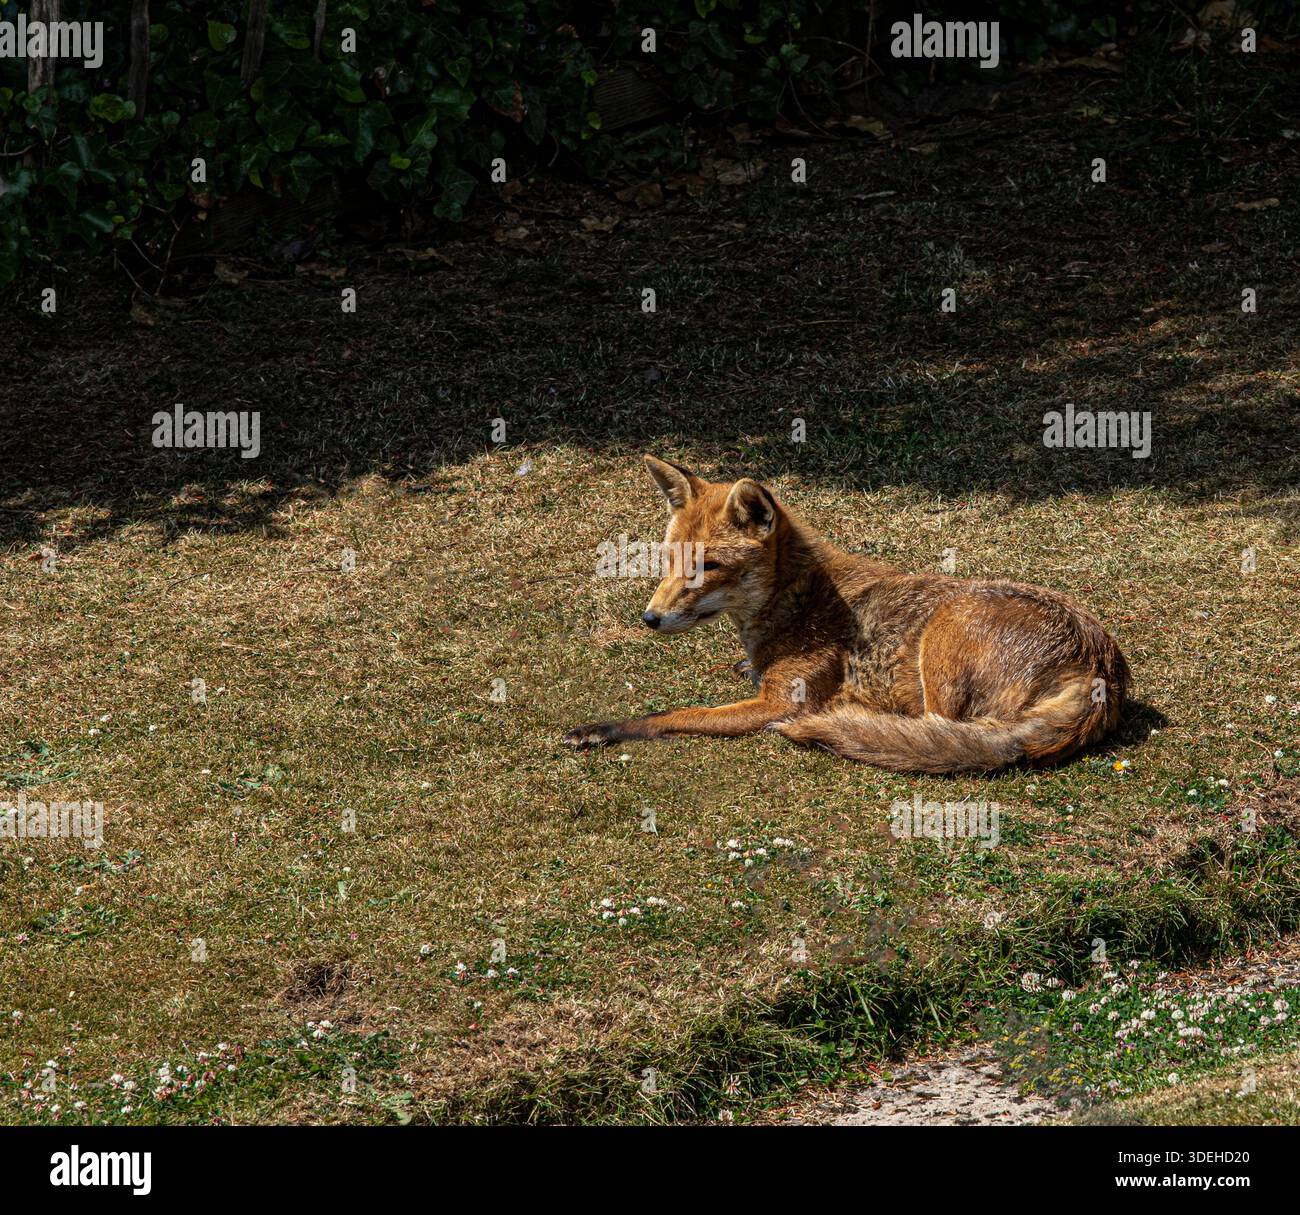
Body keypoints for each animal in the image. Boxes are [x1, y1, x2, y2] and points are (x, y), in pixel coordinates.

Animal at [562, 455, 1130, 773]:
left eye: (710, 566)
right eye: (669, 560)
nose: (650, 618)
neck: (799, 599)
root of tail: (1100, 663)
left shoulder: (778, 703)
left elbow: (674, 716)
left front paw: (604, 728)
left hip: (943, 635)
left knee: (936, 728)